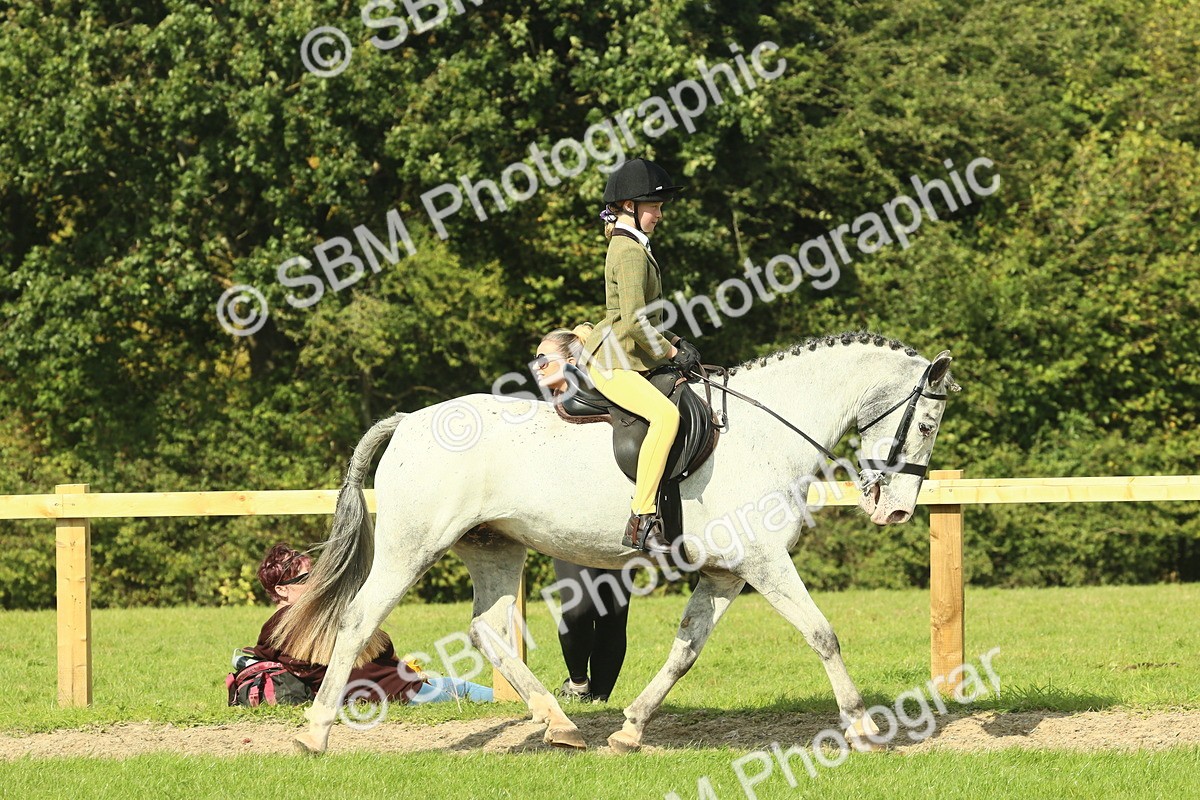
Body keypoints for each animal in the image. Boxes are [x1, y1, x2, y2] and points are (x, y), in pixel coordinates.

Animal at [273, 331, 959, 754]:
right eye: (927, 423)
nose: (898, 510)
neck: (766, 431)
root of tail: (409, 421)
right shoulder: (765, 562)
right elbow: (823, 633)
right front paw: (863, 726)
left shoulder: (726, 573)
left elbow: (685, 650)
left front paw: (630, 730)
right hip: (410, 548)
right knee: (359, 619)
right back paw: (315, 734)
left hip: (494, 548)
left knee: (488, 630)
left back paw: (561, 726)